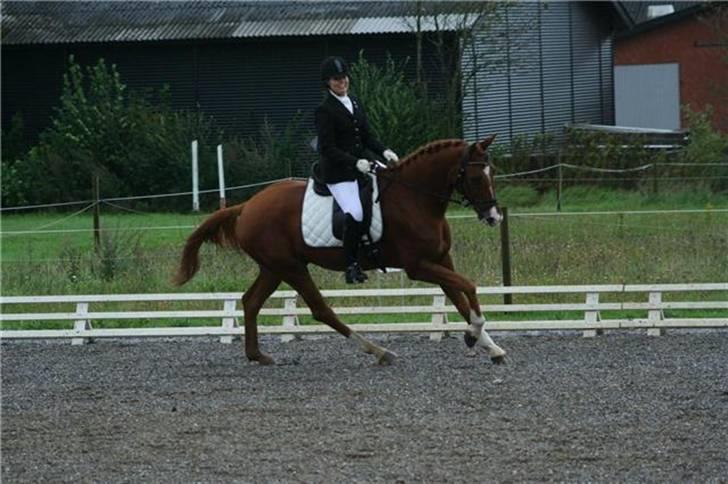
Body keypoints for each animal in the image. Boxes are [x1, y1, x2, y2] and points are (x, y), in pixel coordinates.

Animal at [176, 134, 506, 364]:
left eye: (493, 172)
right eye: (474, 177)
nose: (494, 217)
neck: (414, 198)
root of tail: (247, 206)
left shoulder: (441, 259)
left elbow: (460, 298)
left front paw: (490, 347)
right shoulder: (418, 266)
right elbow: (469, 286)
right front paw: (473, 334)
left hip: (274, 267)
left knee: (251, 301)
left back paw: (257, 355)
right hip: (291, 267)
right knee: (320, 309)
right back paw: (378, 350)